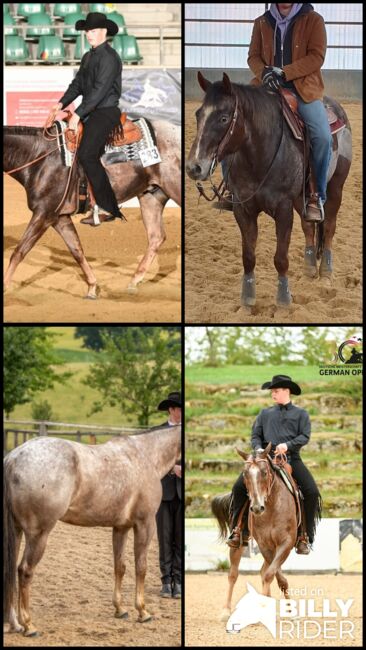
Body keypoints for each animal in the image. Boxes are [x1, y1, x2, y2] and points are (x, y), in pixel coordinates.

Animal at [2, 118, 180, 296]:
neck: (39, 157)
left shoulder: (44, 213)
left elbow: (19, 251)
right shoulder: (59, 217)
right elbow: (76, 250)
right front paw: (93, 286)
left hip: (173, 189)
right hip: (151, 196)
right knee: (156, 237)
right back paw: (134, 281)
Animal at [2, 422, 180, 636]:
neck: (146, 454)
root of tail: (13, 458)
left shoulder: (121, 528)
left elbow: (119, 567)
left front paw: (120, 609)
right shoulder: (145, 524)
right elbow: (141, 567)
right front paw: (143, 611)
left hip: (17, 531)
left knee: (10, 572)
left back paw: (15, 624)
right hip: (38, 535)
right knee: (24, 571)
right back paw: (28, 625)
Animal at [212, 442, 298, 620]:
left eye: (264, 472)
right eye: (245, 474)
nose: (257, 507)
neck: (271, 508)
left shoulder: (285, 543)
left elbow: (271, 574)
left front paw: (288, 610)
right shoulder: (265, 544)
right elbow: (275, 575)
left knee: (263, 571)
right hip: (239, 543)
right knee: (233, 574)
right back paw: (226, 611)